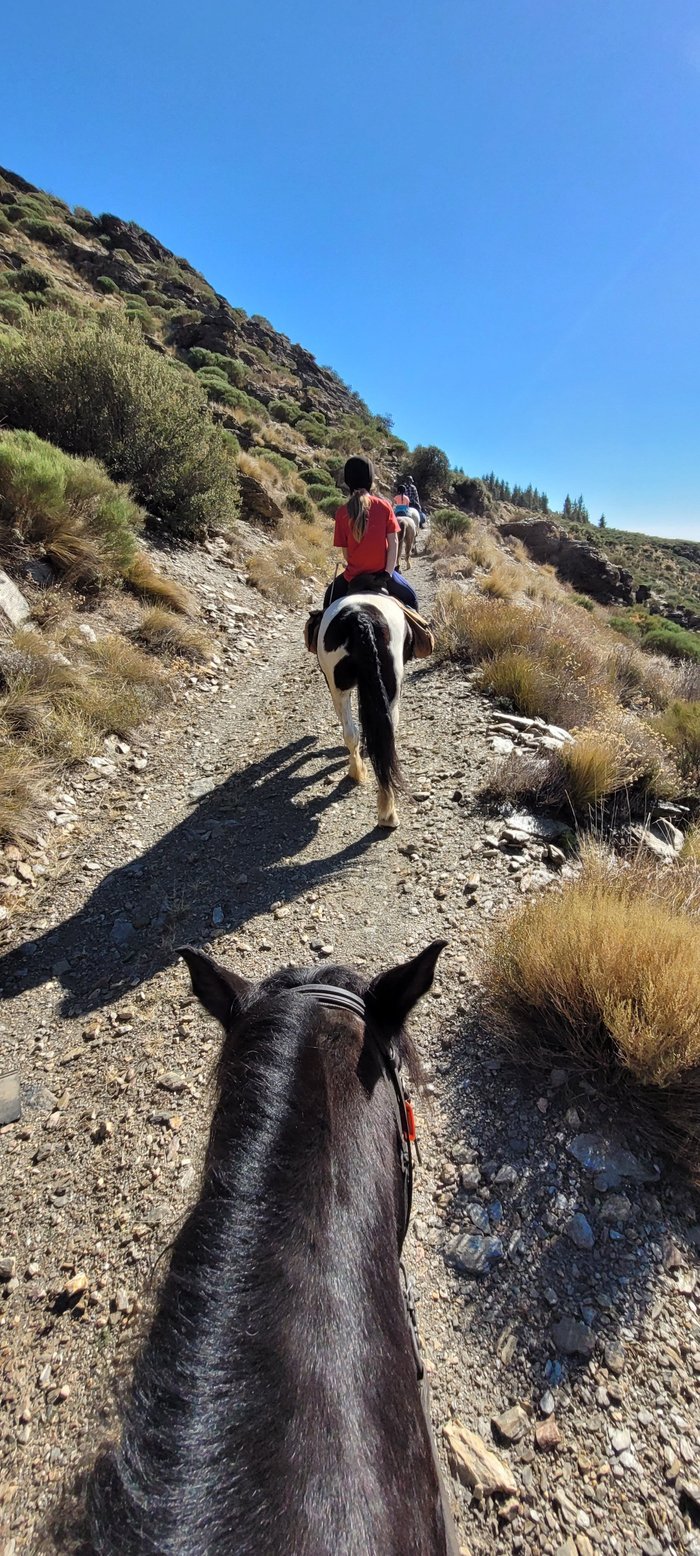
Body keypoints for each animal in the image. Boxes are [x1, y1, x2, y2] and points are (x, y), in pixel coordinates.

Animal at [318, 588, 416, 827]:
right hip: (389, 690)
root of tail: (359, 617)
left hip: (338, 687)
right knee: (383, 739)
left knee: (354, 734)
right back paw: (386, 809)